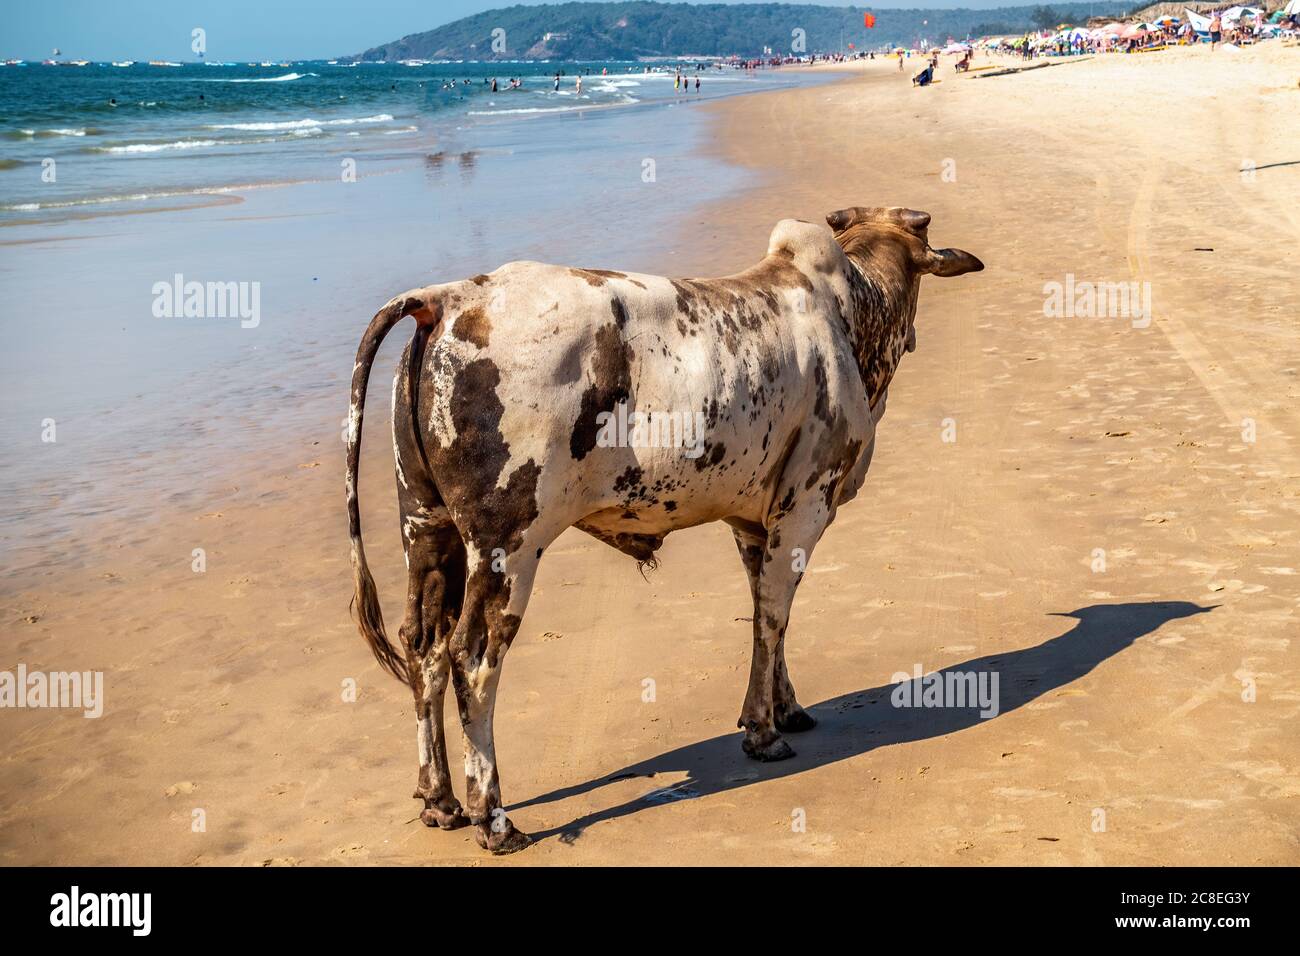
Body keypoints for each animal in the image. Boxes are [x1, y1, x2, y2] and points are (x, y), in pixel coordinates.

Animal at [348, 208, 982, 853]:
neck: (852, 308)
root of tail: (449, 298)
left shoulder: (753, 522)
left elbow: (766, 613)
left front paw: (786, 709)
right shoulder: (805, 505)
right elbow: (774, 616)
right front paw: (762, 733)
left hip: (427, 529)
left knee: (423, 646)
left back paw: (440, 800)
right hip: (508, 546)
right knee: (472, 659)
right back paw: (492, 818)